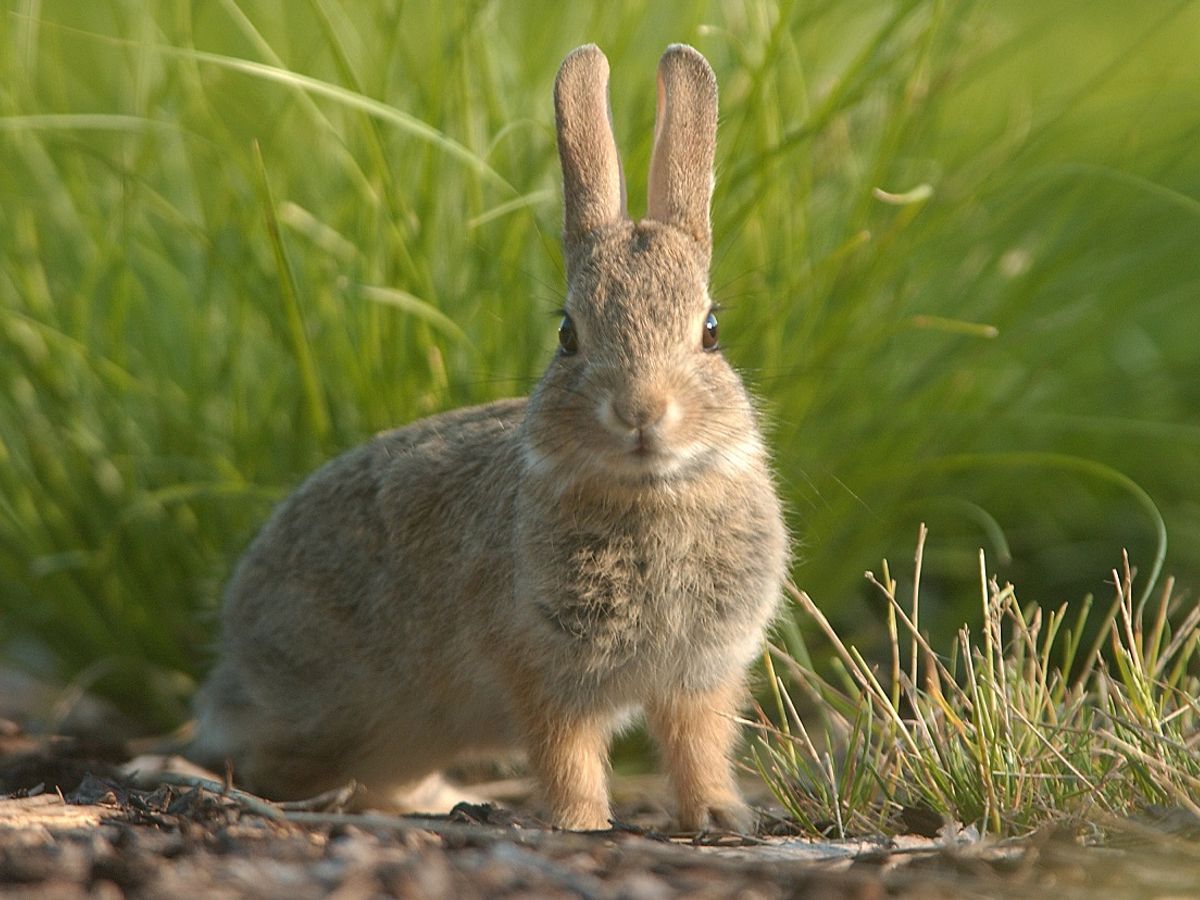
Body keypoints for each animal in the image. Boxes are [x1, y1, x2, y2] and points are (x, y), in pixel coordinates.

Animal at [189, 40, 787, 830]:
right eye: (567, 336)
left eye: (712, 332)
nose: (639, 411)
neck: (649, 494)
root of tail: (237, 638)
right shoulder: (539, 665)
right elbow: (565, 753)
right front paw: (582, 823)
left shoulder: (699, 674)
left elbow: (697, 749)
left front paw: (719, 816)